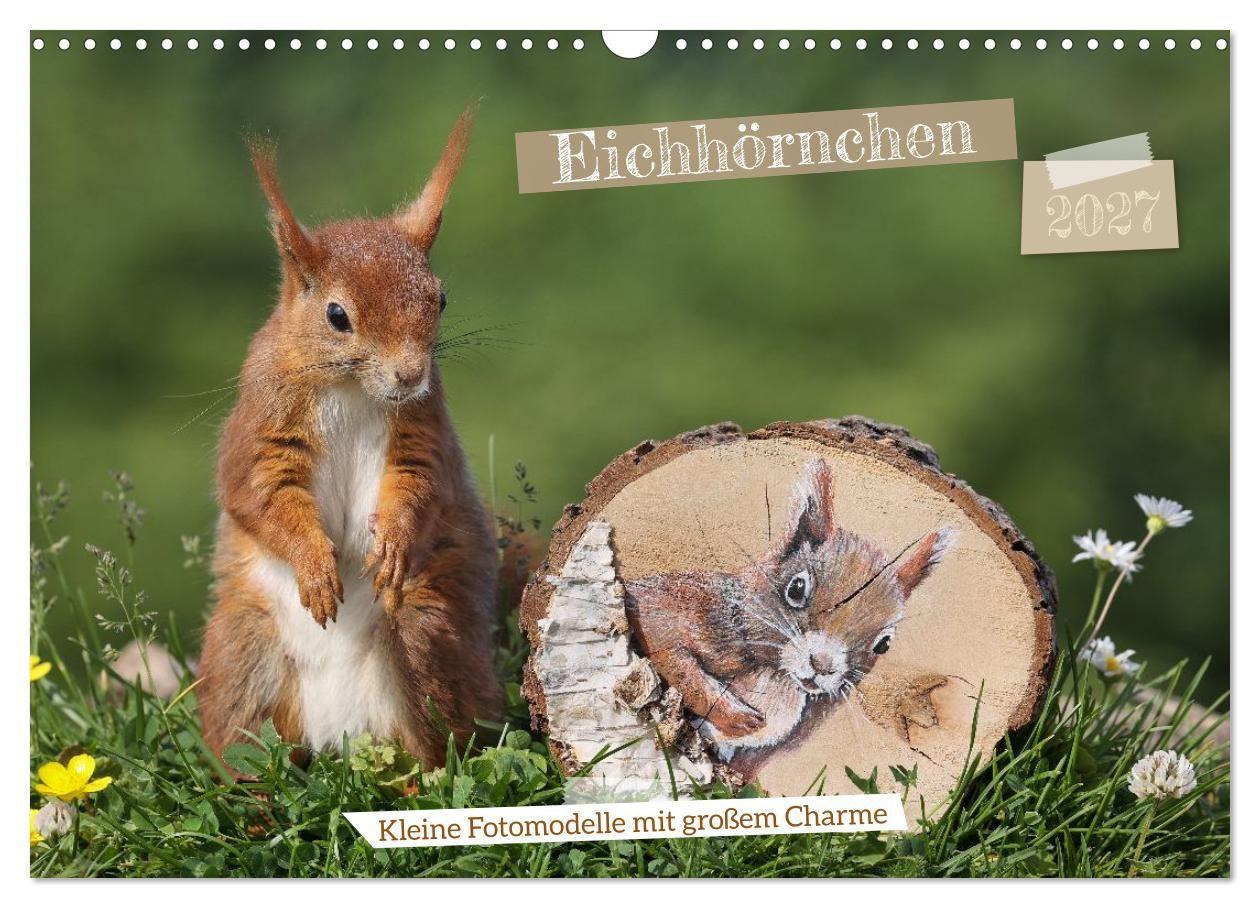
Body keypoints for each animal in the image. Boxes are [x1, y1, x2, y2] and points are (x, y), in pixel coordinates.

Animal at [198, 108, 502, 768]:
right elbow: (258, 494)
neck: (353, 390)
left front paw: (392, 544)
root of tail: (336, 735)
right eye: (337, 316)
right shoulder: (261, 428)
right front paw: (315, 565)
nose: (409, 374)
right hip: (243, 652)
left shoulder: (423, 428)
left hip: (424, 637)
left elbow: (423, 484)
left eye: (441, 298)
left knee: (436, 744)